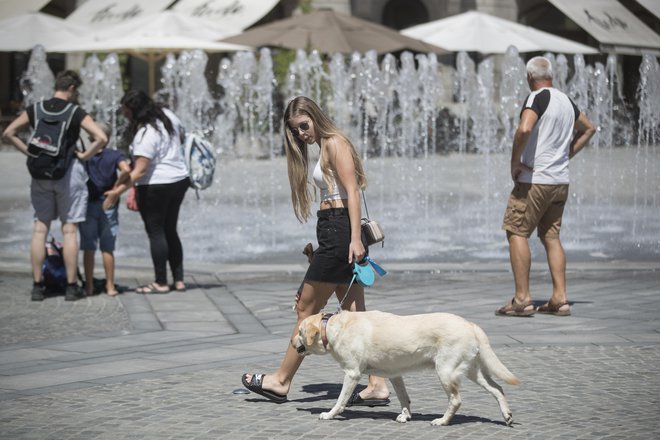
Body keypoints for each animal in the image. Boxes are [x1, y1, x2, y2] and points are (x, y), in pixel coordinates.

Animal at [296, 310, 520, 426]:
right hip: (473, 371)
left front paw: (330, 414)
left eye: (299, 332)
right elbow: (404, 397)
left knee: (456, 400)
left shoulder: (352, 374)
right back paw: (507, 416)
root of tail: (469, 323)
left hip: (445, 371)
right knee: (498, 389)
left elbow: (340, 400)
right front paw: (405, 416)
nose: (291, 343)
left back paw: (442, 421)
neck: (332, 327)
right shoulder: (395, 375)